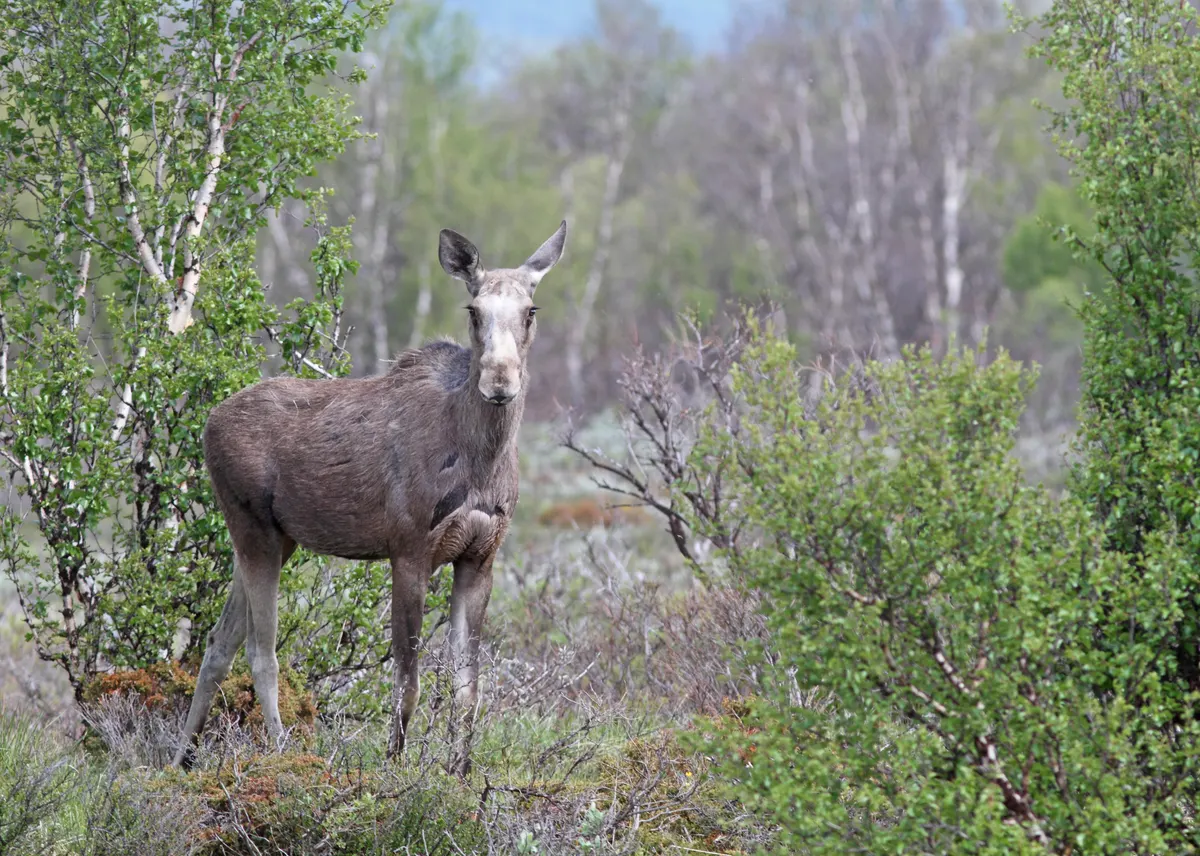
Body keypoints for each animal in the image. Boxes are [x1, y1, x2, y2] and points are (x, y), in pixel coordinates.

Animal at [172, 221, 568, 774]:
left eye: (530, 311)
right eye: (473, 311)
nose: (499, 381)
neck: (483, 457)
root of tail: (207, 422)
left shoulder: (480, 556)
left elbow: (467, 689)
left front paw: (460, 773)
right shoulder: (409, 551)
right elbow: (408, 683)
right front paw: (394, 767)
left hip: (276, 539)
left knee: (218, 643)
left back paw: (179, 759)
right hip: (253, 530)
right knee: (260, 650)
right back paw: (284, 756)